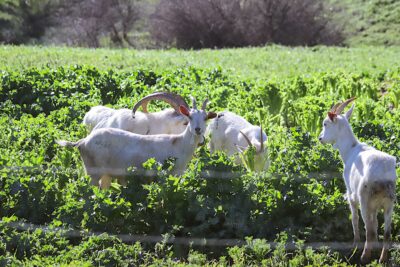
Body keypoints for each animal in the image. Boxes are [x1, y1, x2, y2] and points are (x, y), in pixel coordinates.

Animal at [57, 98, 217, 191]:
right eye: (189, 117)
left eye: (205, 118)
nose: (197, 129)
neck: (178, 143)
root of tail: (82, 142)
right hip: (93, 172)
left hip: (105, 173)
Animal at [318, 97, 396, 264]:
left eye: (325, 124)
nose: (320, 138)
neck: (350, 150)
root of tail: (383, 170)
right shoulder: (375, 206)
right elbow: (376, 223)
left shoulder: (351, 194)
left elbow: (354, 219)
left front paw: (354, 244)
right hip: (389, 202)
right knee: (386, 232)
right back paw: (382, 259)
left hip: (364, 198)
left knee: (370, 231)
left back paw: (364, 257)